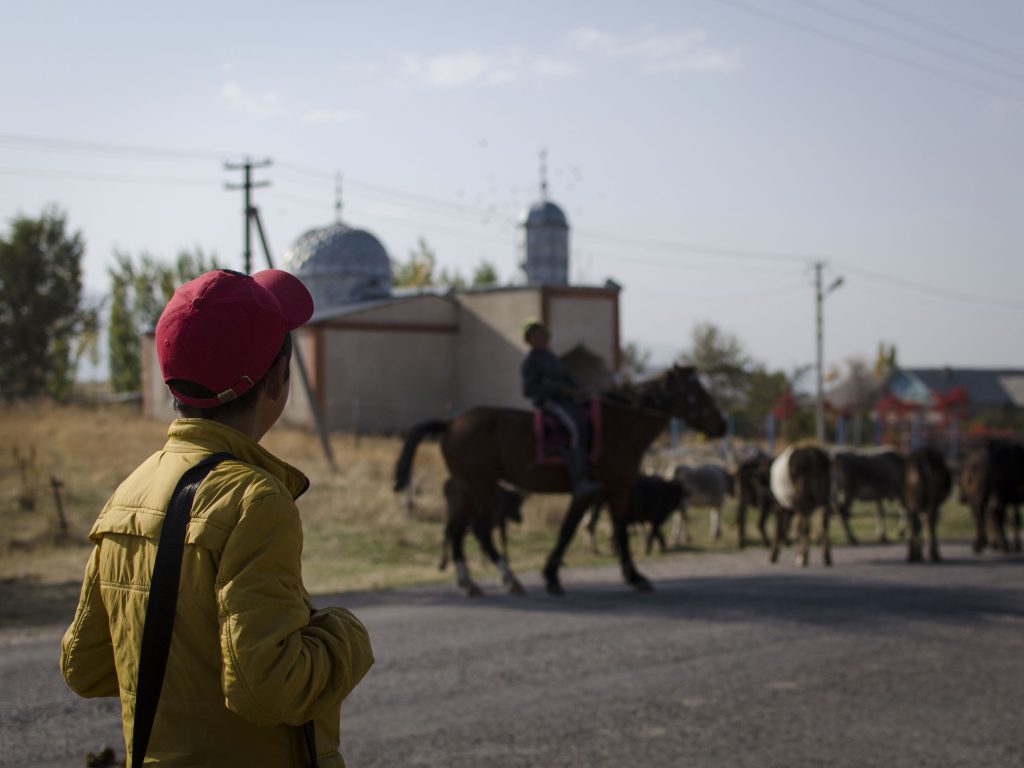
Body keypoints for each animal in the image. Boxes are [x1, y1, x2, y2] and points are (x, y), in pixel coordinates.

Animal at [393, 364, 729, 593]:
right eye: (693, 392)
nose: (722, 425)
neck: (621, 426)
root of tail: (450, 423)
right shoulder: (606, 490)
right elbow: (586, 531)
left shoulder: (605, 492)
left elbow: (597, 529)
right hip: (481, 487)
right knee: (478, 531)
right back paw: (508, 578)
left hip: (467, 488)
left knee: (457, 531)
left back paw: (470, 582)